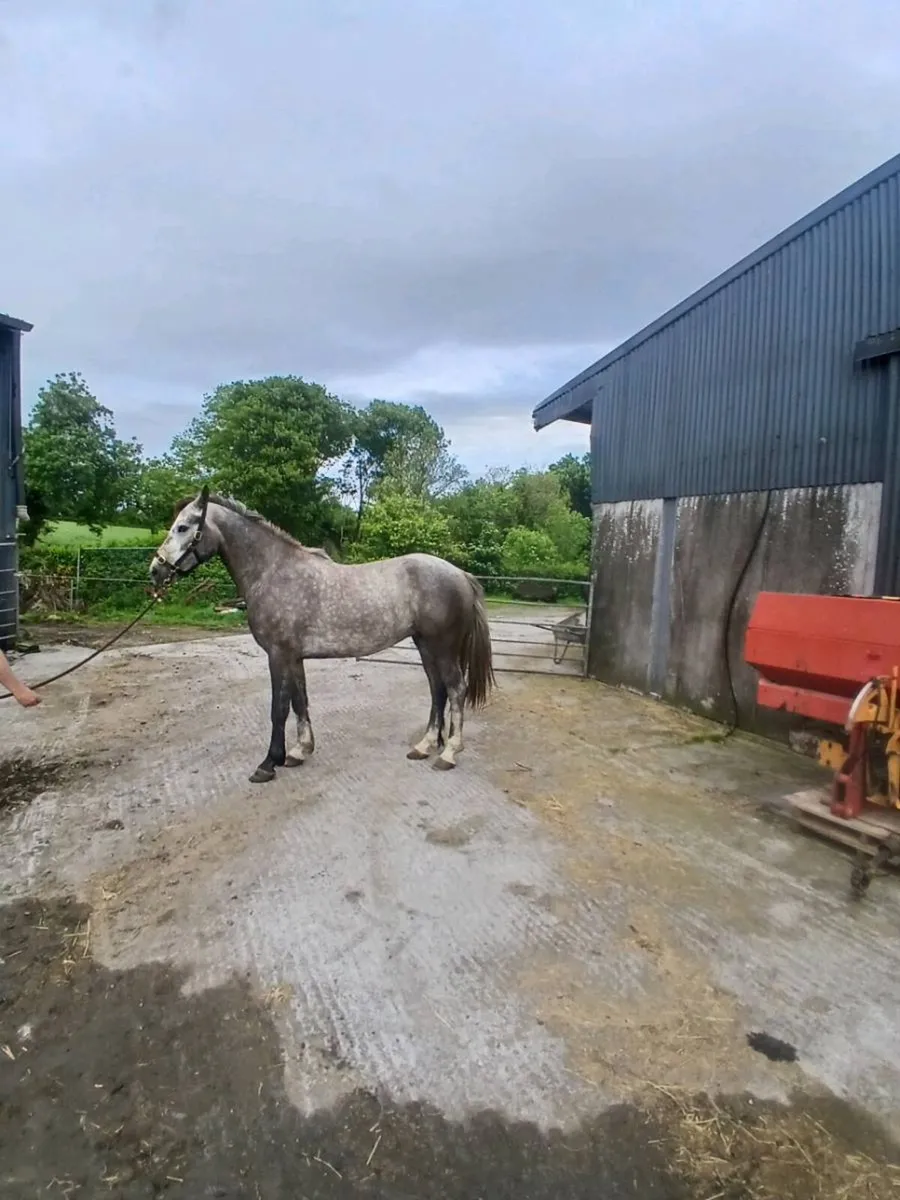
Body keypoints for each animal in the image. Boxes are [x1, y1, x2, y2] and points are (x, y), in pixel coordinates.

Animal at [150, 487, 495, 783]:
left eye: (183, 527)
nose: (156, 570)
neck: (273, 572)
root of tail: (459, 573)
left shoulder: (278, 654)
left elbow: (279, 708)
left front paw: (268, 763)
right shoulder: (294, 656)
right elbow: (300, 700)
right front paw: (299, 751)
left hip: (443, 647)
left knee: (455, 689)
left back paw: (449, 753)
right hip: (425, 645)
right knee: (437, 690)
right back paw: (424, 746)